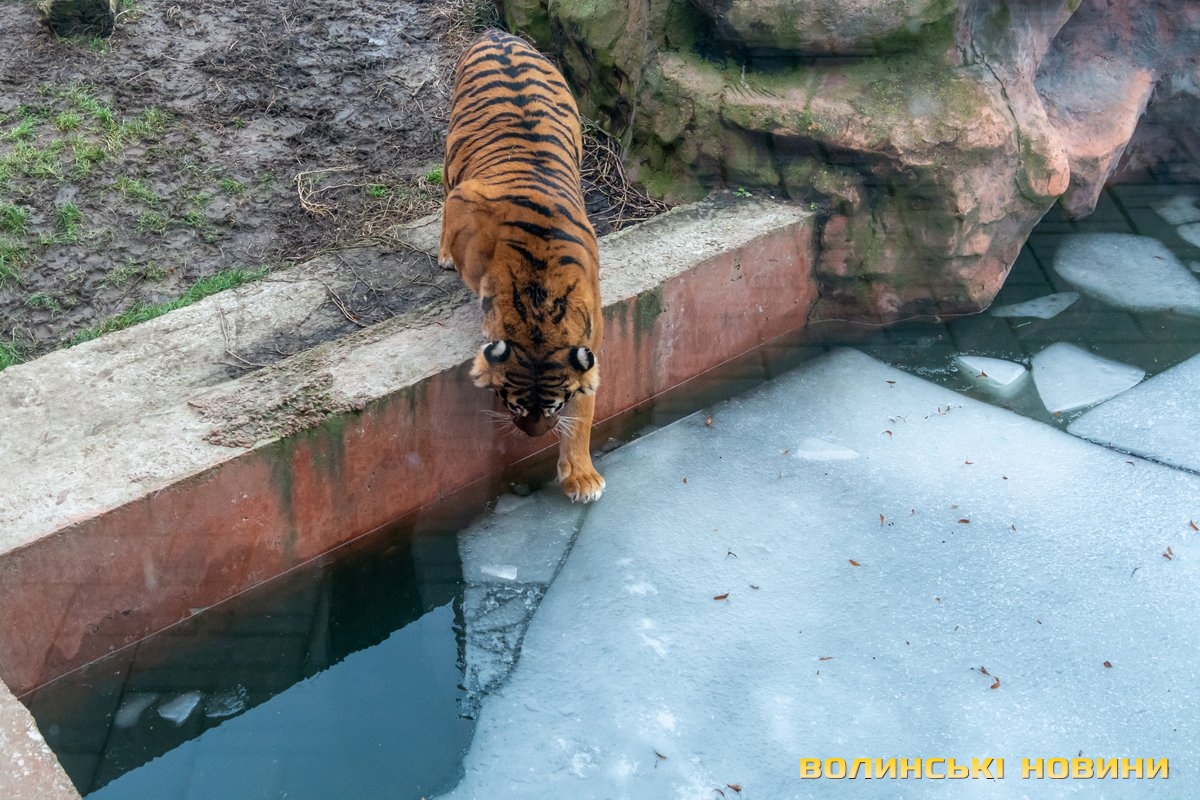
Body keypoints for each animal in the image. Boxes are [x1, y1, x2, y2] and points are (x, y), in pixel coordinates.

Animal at [438, 29, 605, 503]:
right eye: (513, 403)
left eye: (555, 406)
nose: (535, 436)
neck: (539, 305)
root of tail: (497, 34)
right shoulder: (465, 202)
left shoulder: (590, 342)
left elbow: (586, 411)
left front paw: (581, 476)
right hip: (452, 156)